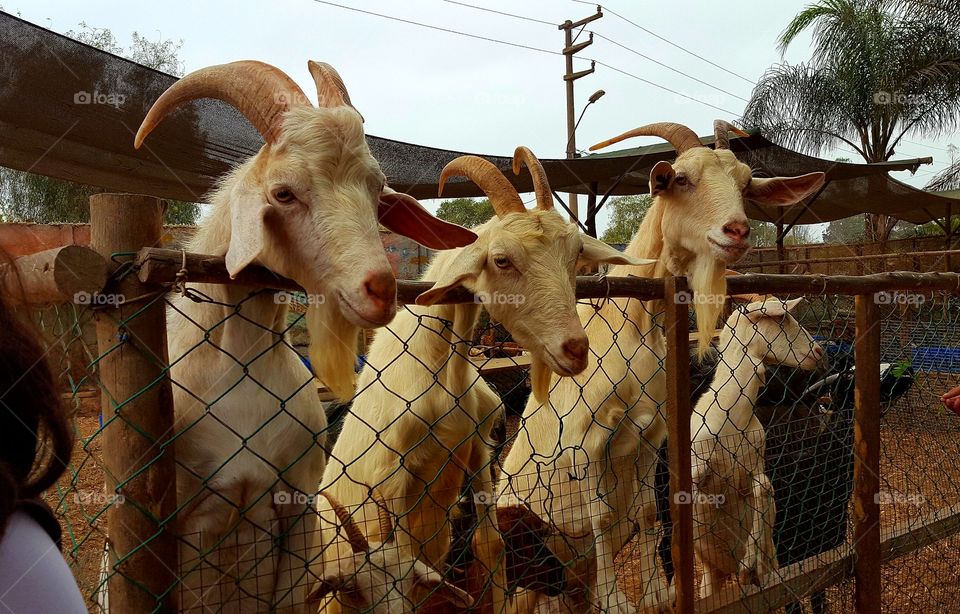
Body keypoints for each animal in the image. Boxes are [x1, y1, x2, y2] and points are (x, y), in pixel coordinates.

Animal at [131, 60, 475, 613]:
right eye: (284, 193)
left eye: (376, 192)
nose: (381, 288)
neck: (240, 369)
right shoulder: (179, 515)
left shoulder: (298, 502)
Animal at [316, 148, 646, 613]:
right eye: (501, 259)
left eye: (573, 257)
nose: (576, 349)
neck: (441, 373)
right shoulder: (389, 478)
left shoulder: (477, 446)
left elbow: (488, 545)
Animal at [690, 297, 822, 600]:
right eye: (783, 319)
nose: (820, 351)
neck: (732, 418)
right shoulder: (697, 461)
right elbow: (698, 484)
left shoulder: (754, 461)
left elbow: (763, 488)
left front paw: (750, 563)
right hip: (708, 574)